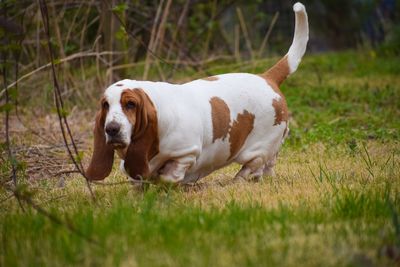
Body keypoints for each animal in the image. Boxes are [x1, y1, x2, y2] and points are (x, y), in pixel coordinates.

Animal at [85, 3, 310, 184]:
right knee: (268, 165)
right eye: (105, 105)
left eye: (130, 104)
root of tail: (267, 77)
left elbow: (170, 175)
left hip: (257, 149)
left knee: (253, 166)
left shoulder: (186, 153)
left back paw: (237, 181)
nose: (111, 129)